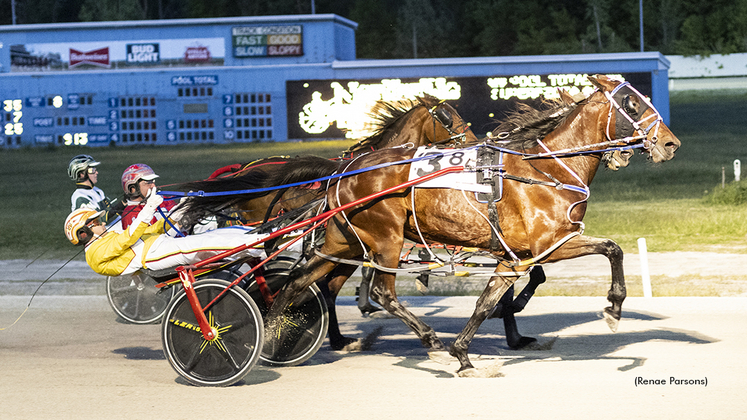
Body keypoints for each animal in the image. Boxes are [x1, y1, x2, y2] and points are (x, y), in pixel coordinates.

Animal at [264, 74, 684, 376]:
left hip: (342, 242)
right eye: (633, 104)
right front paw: (613, 309)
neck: (546, 168)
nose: (670, 144)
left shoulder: (516, 256)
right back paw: (429, 342)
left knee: (298, 282)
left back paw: (271, 338)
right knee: (381, 293)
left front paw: (466, 355)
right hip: (386, 239)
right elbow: (613, 248)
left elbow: (487, 304)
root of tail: (346, 168)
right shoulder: (553, 242)